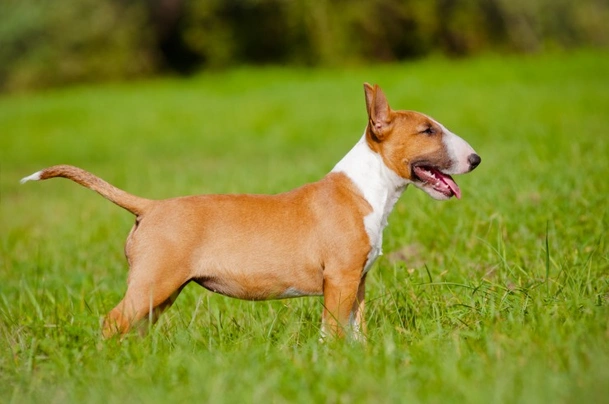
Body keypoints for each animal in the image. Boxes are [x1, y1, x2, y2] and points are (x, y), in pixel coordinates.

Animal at [20, 83, 480, 340]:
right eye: (427, 131)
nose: (475, 160)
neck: (366, 189)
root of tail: (150, 207)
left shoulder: (358, 281)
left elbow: (356, 330)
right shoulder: (339, 279)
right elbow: (332, 331)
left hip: (161, 291)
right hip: (154, 281)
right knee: (111, 323)